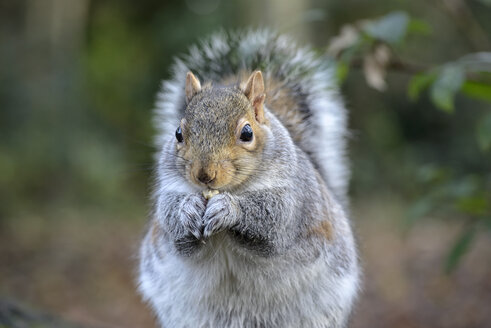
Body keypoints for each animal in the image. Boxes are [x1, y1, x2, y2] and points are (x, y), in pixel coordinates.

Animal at [138, 29, 362, 326]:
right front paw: (188, 209)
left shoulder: (294, 197)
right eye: (178, 133)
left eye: (247, 133)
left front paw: (228, 209)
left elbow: (273, 222)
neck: (235, 188)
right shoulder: (170, 190)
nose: (204, 174)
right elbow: (174, 226)